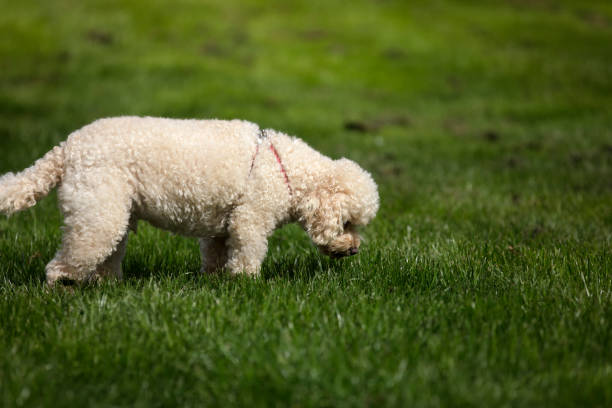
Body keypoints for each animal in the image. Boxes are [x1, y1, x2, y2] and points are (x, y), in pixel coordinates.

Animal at [0, 116, 378, 286]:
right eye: (348, 223)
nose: (354, 249)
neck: (286, 168)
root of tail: (66, 149)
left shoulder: (221, 230)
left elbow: (215, 255)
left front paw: (215, 282)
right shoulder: (250, 220)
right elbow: (249, 254)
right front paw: (247, 285)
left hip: (110, 211)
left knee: (106, 258)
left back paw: (108, 285)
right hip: (95, 214)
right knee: (63, 264)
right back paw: (62, 289)